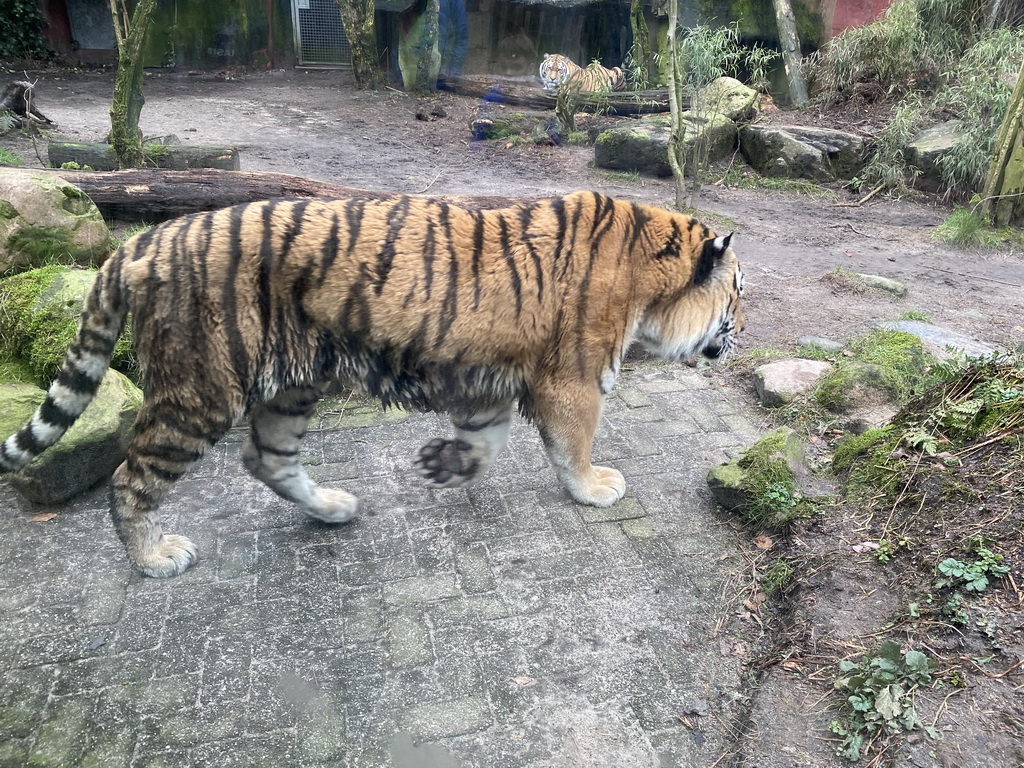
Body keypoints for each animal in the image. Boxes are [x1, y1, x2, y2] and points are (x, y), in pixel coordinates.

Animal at [0, 192, 745, 577]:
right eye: (738, 293)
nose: (740, 333)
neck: (652, 282)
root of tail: (141, 242)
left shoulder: (491, 374)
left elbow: (487, 439)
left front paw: (444, 463)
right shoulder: (572, 379)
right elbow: (574, 444)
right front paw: (595, 488)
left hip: (290, 385)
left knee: (265, 457)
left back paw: (332, 507)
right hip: (201, 390)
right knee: (131, 477)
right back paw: (154, 556)